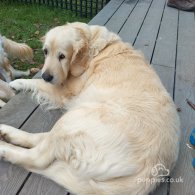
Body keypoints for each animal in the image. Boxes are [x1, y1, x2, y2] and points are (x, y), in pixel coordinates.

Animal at [0, 22, 181, 194]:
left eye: (62, 56)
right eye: (45, 52)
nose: (46, 76)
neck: (95, 47)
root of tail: (150, 174)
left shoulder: (64, 92)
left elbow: (37, 83)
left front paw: (18, 82)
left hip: (78, 116)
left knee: (38, 157)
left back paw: (4, 148)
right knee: (42, 138)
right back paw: (6, 132)